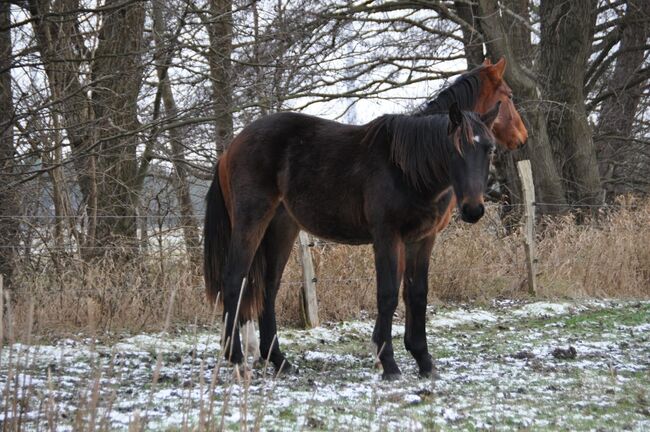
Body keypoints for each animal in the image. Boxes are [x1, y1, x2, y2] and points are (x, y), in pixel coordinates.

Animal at [205, 101, 498, 378]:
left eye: (490, 149)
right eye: (455, 149)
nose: (473, 209)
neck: (406, 170)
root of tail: (230, 150)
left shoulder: (423, 240)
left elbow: (417, 295)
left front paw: (424, 361)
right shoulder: (387, 237)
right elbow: (388, 294)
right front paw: (388, 363)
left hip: (281, 228)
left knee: (268, 287)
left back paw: (279, 361)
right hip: (250, 221)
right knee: (234, 280)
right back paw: (236, 359)